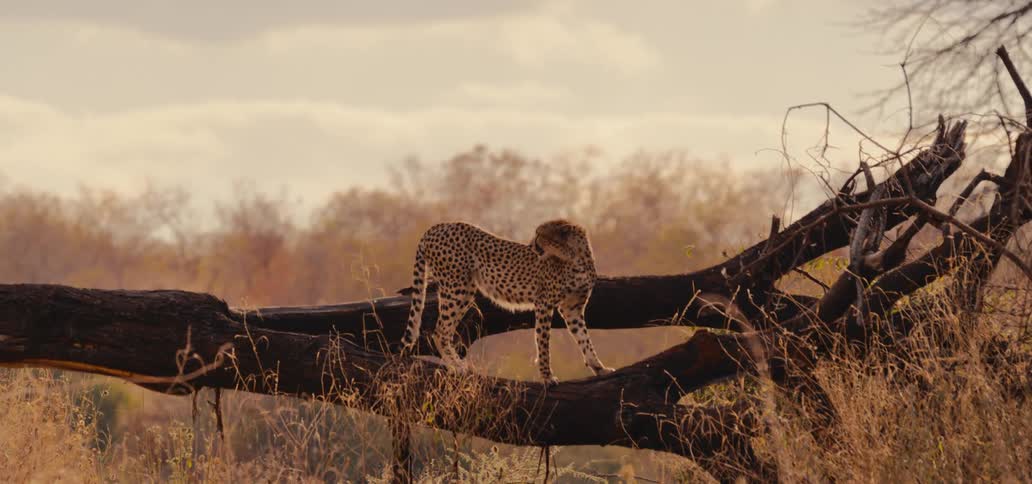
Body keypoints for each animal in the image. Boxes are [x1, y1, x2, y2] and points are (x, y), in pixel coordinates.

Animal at [400, 219, 614, 385]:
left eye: (540, 235)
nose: (531, 245)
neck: (576, 257)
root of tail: (436, 227)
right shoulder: (544, 304)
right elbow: (543, 343)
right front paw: (547, 377)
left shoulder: (573, 308)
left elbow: (585, 339)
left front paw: (599, 367)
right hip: (457, 288)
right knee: (440, 331)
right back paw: (458, 366)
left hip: (463, 288)